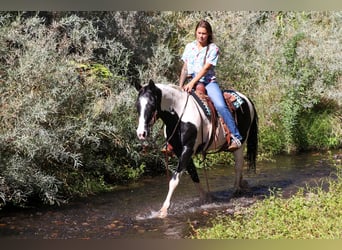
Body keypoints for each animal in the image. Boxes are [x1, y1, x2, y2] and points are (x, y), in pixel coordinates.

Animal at [135, 80, 258, 219]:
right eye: (137, 105)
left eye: (151, 104)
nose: (141, 133)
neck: (180, 116)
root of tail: (246, 98)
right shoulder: (180, 151)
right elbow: (193, 174)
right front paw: (205, 198)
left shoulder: (187, 149)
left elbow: (174, 180)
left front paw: (164, 210)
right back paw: (242, 184)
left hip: (241, 144)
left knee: (238, 166)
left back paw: (236, 190)